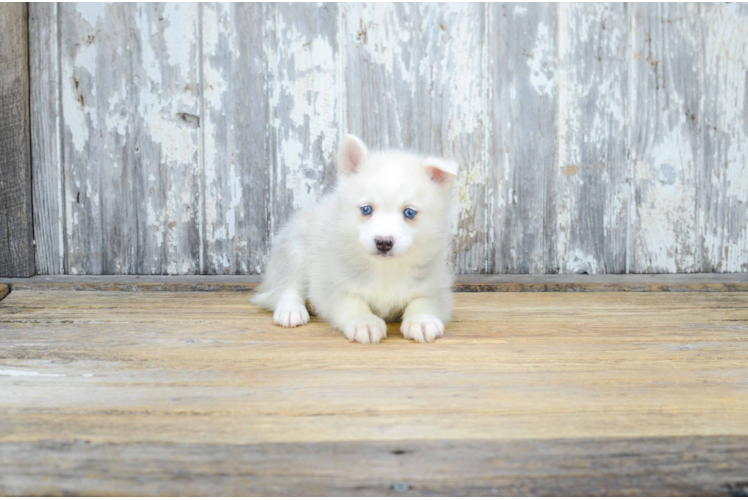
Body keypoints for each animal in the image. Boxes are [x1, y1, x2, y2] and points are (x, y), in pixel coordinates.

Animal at [254, 134, 458, 344]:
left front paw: (422, 320)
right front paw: (365, 322)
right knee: (287, 286)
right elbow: (352, 304)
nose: (383, 242)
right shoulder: (333, 285)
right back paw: (290, 310)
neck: (386, 269)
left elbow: (423, 303)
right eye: (366, 209)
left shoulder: (436, 288)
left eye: (409, 212)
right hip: (294, 249)